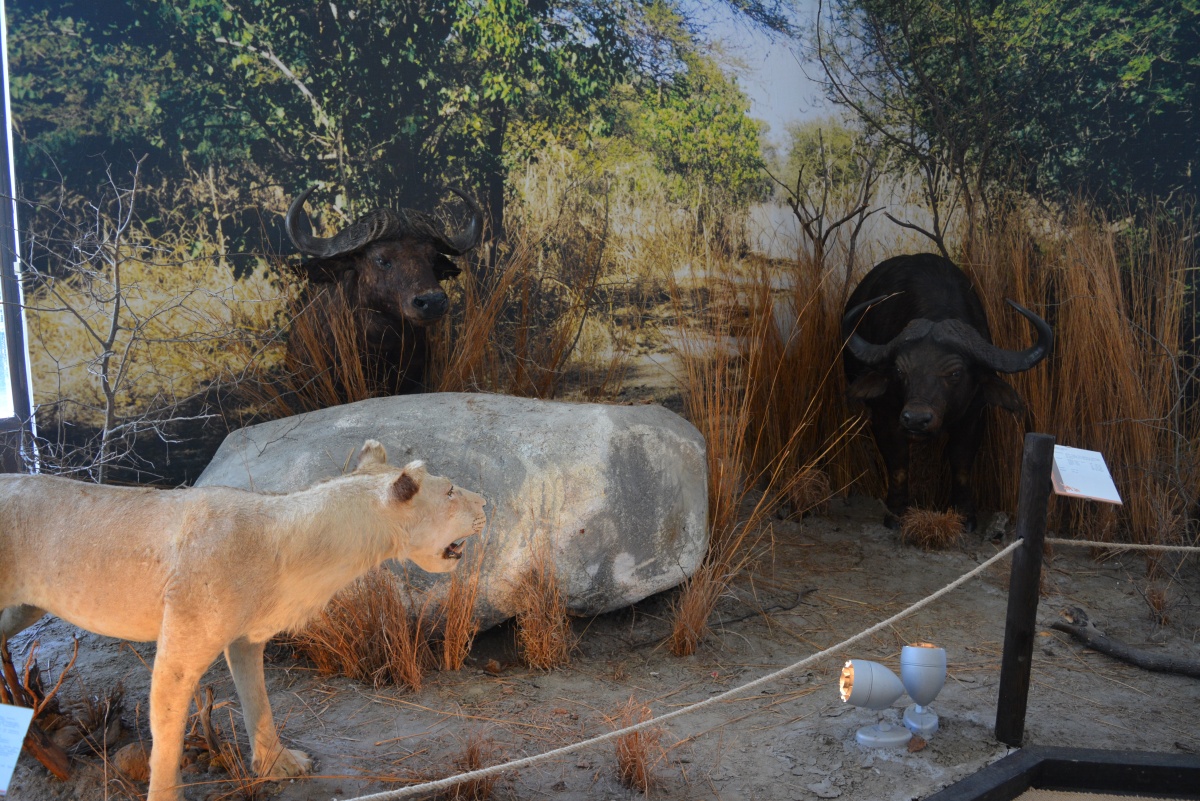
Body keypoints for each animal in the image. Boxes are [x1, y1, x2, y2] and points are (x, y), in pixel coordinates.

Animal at [2, 438, 487, 801]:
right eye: (449, 492)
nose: (485, 500)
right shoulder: (177, 656)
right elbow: (167, 739)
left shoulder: (246, 640)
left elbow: (259, 701)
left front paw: (277, 764)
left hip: (21, 610)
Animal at [844, 253, 1051, 527]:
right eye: (900, 371)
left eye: (955, 373)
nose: (916, 419)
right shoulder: (885, 415)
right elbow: (898, 464)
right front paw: (896, 512)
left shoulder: (974, 416)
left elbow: (961, 462)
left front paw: (965, 515)